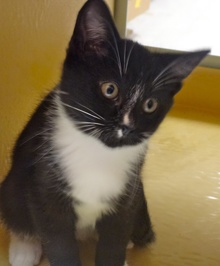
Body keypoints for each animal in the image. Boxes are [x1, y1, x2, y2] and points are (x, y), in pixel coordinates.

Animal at [0, 0, 210, 266]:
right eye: (109, 89)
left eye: (150, 104)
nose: (126, 126)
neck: (96, 154)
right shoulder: (45, 190)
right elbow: (57, 241)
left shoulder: (126, 198)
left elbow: (114, 242)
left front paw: (118, 254)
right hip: (14, 184)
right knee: (16, 211)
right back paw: (25, 248)